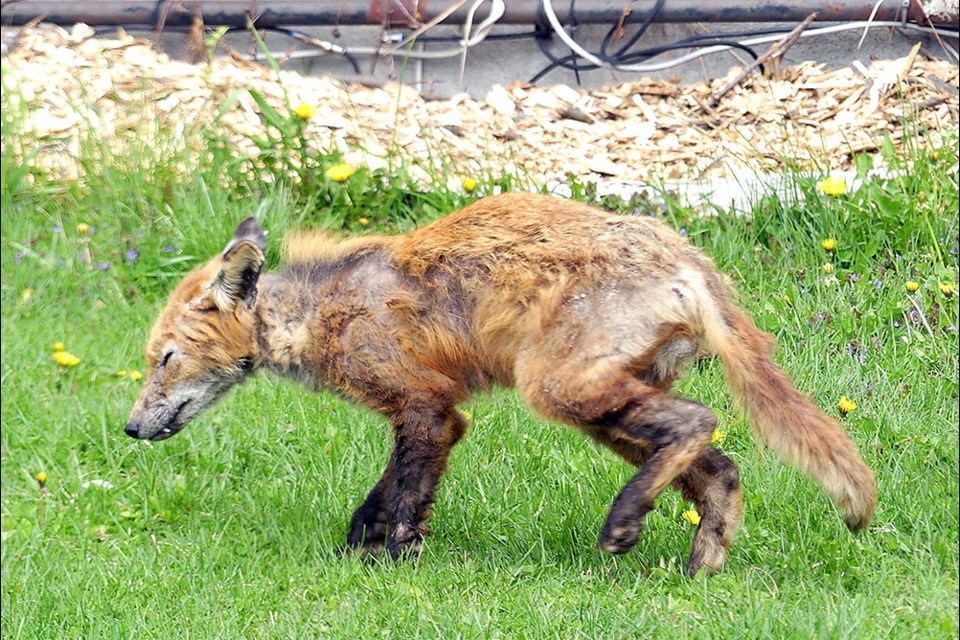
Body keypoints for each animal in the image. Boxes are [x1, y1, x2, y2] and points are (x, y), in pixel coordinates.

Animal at [125, 192, 876, 576]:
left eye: (164, 359)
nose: (130, 427)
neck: (318, 313)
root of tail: (687, 257)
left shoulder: (426, 408)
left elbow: (404, 502)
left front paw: (392, 569)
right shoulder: (429, 414)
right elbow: (376, 500)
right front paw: (354, 553)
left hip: (560, 389)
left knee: (699, 423)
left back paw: (625, 522)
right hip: (606, 407)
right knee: (717, 464)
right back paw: (699, 566)